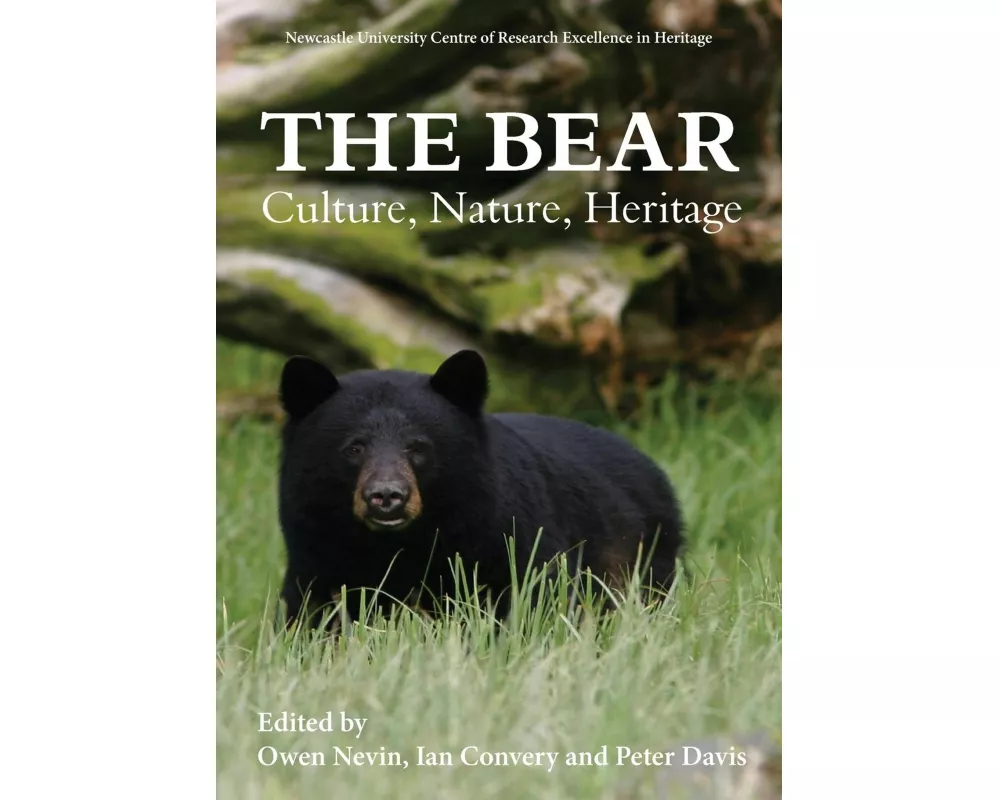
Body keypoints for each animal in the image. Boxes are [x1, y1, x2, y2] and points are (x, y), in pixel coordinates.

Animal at [276, 349, 684, 629]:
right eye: (354, 448)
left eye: (418, 447)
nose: (387, 497)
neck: (400, 543)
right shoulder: (318, 551)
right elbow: (315, 613)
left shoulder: (505, 538)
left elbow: (533, 598)